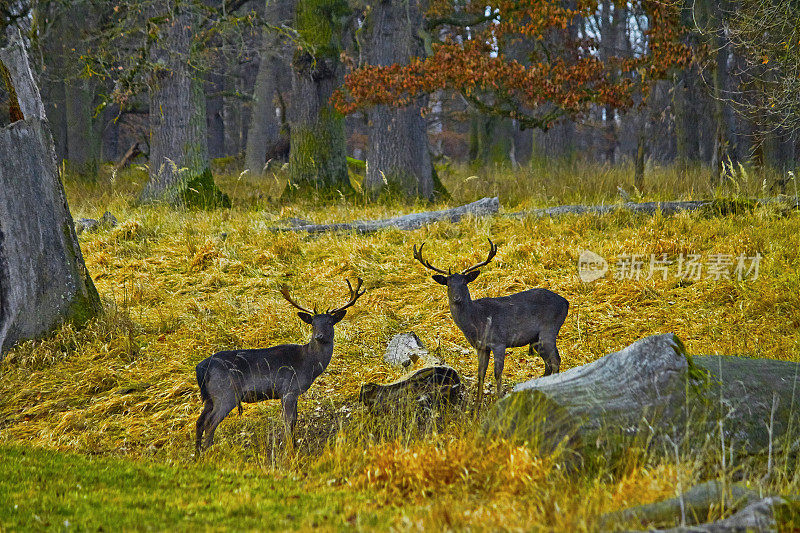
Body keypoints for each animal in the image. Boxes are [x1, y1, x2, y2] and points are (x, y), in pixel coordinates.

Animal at [195, 278, 364, 454]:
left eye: (330, 322)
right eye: (313, 323)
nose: (319, 336)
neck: (309, 364)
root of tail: (201, 368)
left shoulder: (292, 392)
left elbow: (294, 420)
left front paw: (294, 446)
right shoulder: (288, 389)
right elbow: (288, 422)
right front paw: (290, 449)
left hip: (210, 397)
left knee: (199, 422)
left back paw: (198, 454)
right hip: (225, 392)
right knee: (210, 423)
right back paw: (208, 452)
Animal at [416, 239, 564, 414]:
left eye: (464, 283)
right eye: (448, 284)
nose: (457, 298)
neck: (477, 323)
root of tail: (566, 303)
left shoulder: (499, 342)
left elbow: (497, 373)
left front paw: (499, 401)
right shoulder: (481, 347)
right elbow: (480, 373)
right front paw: (476, 406)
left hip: (550, 329)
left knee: (555, 360)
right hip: (536, 339)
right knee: (548, 363)